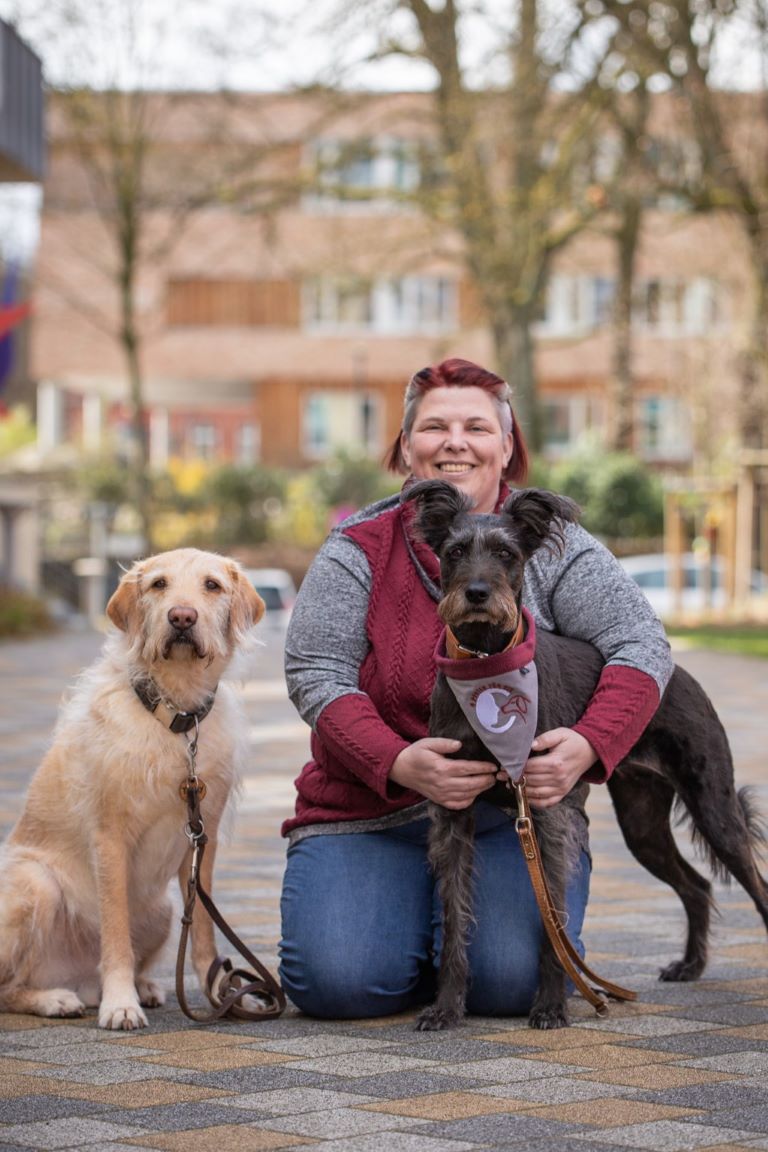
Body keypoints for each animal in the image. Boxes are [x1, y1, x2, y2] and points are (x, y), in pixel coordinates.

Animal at [0, 543, 264, 1032]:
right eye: (159, 584)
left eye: (212, 585)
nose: (182, 617)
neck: (175, 718)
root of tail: (76, 977)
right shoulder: (110, 837)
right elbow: (115, 931)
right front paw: (120, 1004)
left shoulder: (205, 840)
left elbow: (204, 932)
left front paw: (222, 994)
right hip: (36, 884)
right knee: (6, 987)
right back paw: (57, 999)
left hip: (162, 908)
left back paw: (141, 987)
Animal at [405, 479, 764, 1036]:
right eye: (455, 552)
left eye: (507, 554)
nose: (478, 594)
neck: (488, 661)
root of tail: (679, 672)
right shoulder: (452, 812)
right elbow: (456, 913)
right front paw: (445, 1008)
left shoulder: (548, 814)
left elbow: (552, 919)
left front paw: (552, 1006)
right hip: (642, 823)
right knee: (697, 885)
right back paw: (689, 965)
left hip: (715, 810)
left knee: (755, 884)